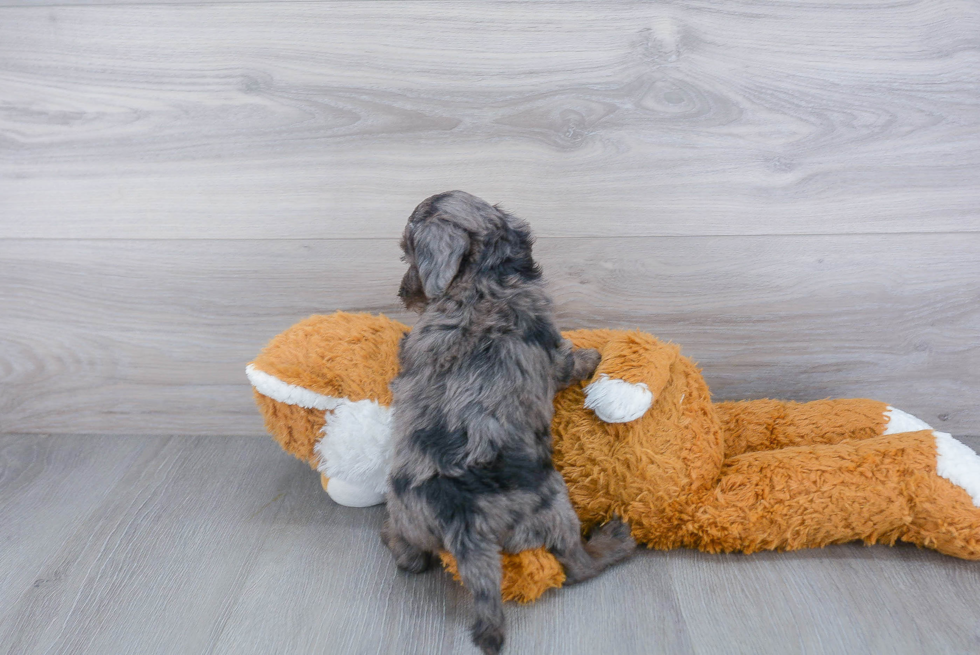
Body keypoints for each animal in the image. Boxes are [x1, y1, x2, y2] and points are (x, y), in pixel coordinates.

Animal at [382, 191, 636, 655]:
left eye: (408, 255)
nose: (405, 294)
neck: (480, 280)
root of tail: (462, 521)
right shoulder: (553, 353)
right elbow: (571, 361)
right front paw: (592, 356)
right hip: (554, 508)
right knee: (576, 566)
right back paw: (611, 544)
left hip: (409, 515)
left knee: (411, 559)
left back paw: (390, 536)